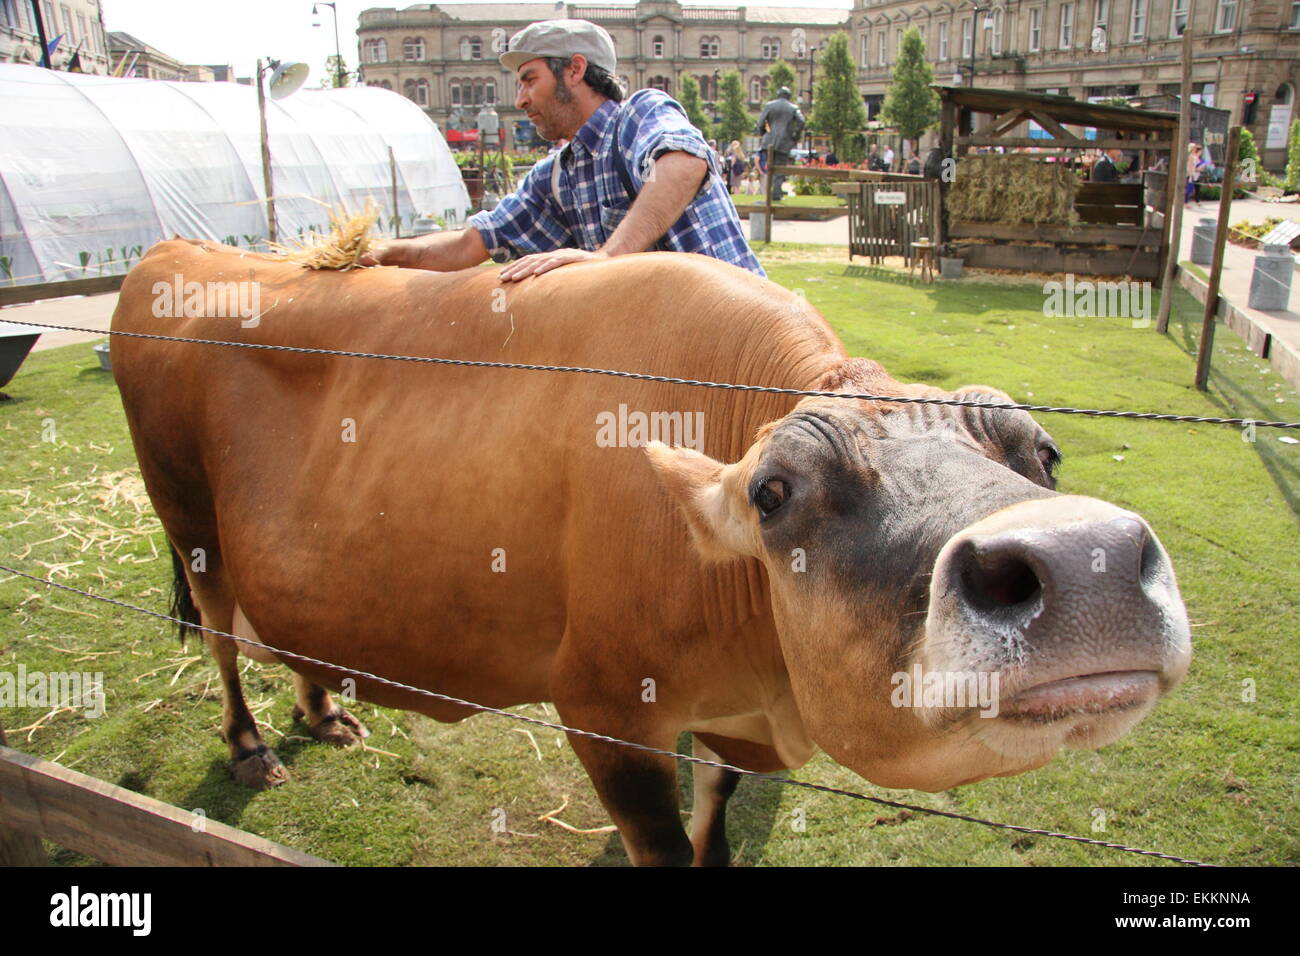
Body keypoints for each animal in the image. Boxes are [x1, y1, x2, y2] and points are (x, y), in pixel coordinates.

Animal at [111, 239, 1190, 868]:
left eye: (1043, 452)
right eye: (772, 494)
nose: (1084, 562)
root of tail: (173, 249)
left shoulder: (721, 717)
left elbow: (715, 829)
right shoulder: (603, 710)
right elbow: (666, 850)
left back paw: (323, 710)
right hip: (187, 515)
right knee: (221, 634)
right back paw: (251, 744)